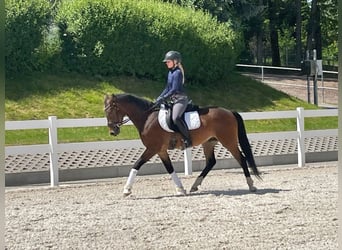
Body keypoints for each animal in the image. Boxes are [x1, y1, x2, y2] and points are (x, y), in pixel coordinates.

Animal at [104, 93, 262, 196]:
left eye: (111, 110)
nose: (112, 131)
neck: (147, 117)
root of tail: (229, 111)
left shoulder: (152, 148)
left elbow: (136, 164)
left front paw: (126, 190)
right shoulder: (161, 150)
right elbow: (169, 168)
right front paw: (180, 189)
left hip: (228, 141)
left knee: (241, 159)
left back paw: (251, 185)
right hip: (209, 142)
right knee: (211, 162)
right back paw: (194, 186)